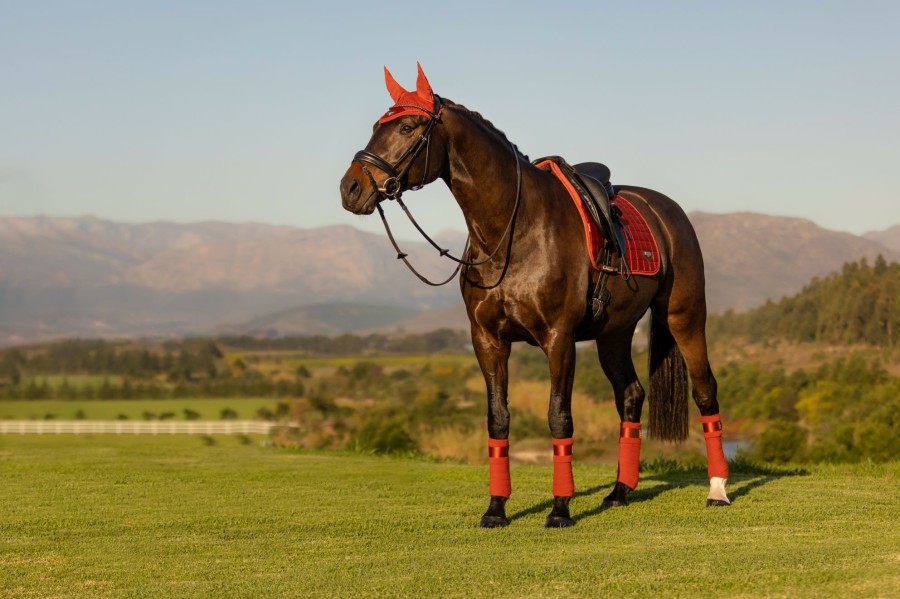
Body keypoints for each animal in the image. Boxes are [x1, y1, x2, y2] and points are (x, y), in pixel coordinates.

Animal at [340, 63, 732, 528]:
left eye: (405, 126)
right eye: (375, 127)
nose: (350, 188)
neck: (514, 230)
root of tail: (668, 212)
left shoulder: (558, 339)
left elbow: (559, 418)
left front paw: (560, 508)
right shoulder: (488, 340)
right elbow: (498, 420)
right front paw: (496, 509)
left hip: (684, 318)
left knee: (705, 390)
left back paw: (718, 489)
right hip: (613, 334)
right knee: (631, 395)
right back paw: (620, 491)